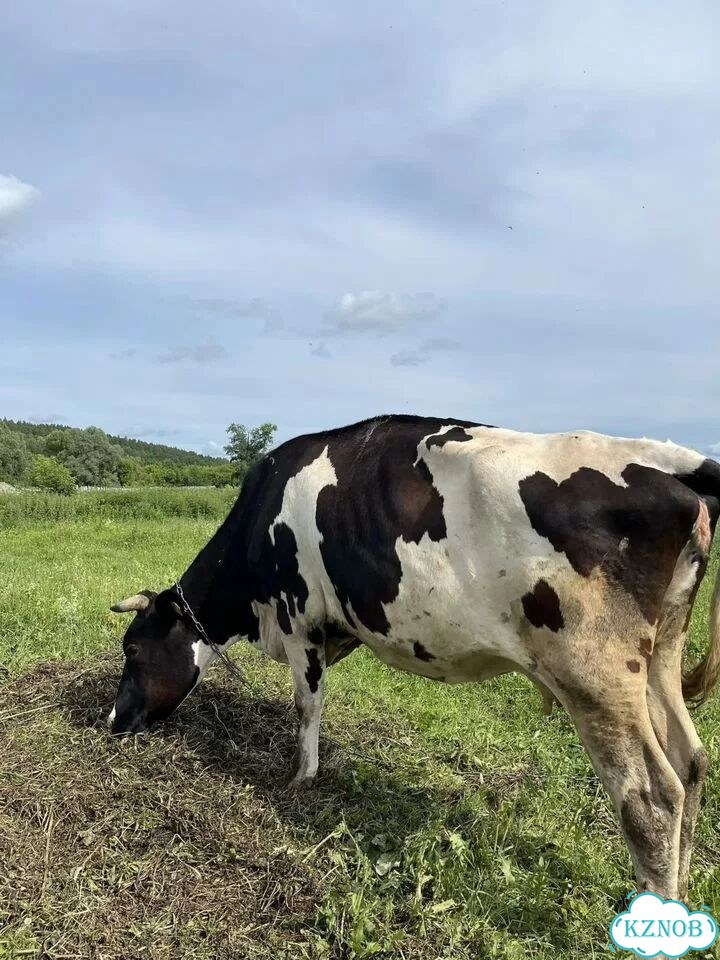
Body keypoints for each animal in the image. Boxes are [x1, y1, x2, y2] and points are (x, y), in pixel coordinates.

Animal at [108, 415, 720, 903]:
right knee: (691, 761)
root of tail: (659, 460)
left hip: (596, 672)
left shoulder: (300, 620)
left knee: (651, 796)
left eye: (132, 648)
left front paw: (301, 778)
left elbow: (307, 707)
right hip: (662, 650)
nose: (112, 721)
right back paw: (684, 890)